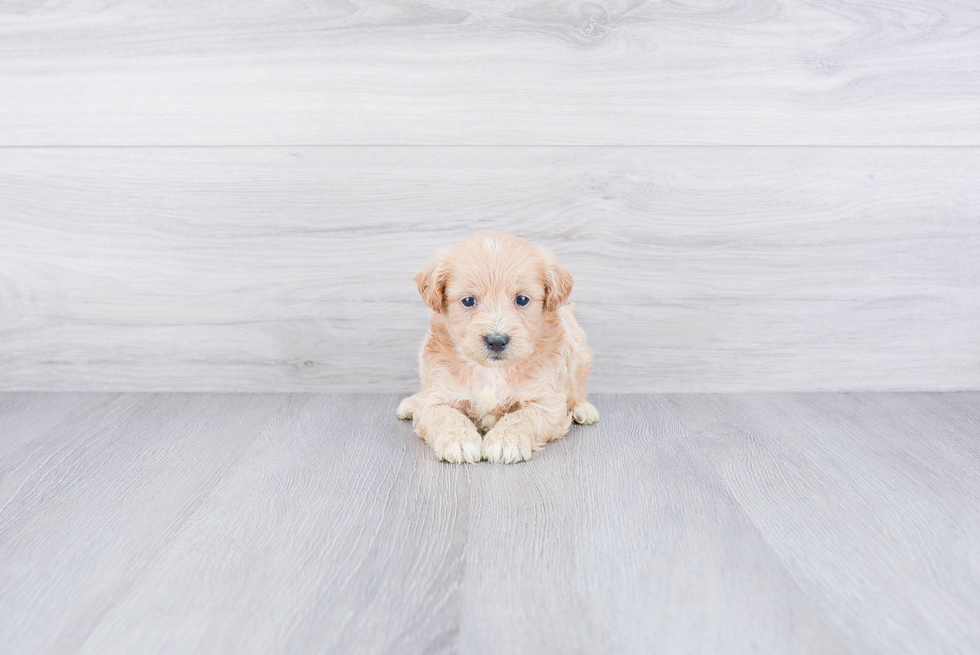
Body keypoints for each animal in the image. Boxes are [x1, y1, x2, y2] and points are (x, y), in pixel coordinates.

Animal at [396, 233, 596, 464]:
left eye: (522, 299)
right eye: (468, 300)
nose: (497, 340)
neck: (491, 371)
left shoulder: (547, 402)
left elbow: (522, 417)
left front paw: (506, 441)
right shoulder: (436, 396)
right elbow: (447, 415)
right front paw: (459, 441)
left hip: (581, 355)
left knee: (577, 388)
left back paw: (584, 408)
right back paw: (411, 403)